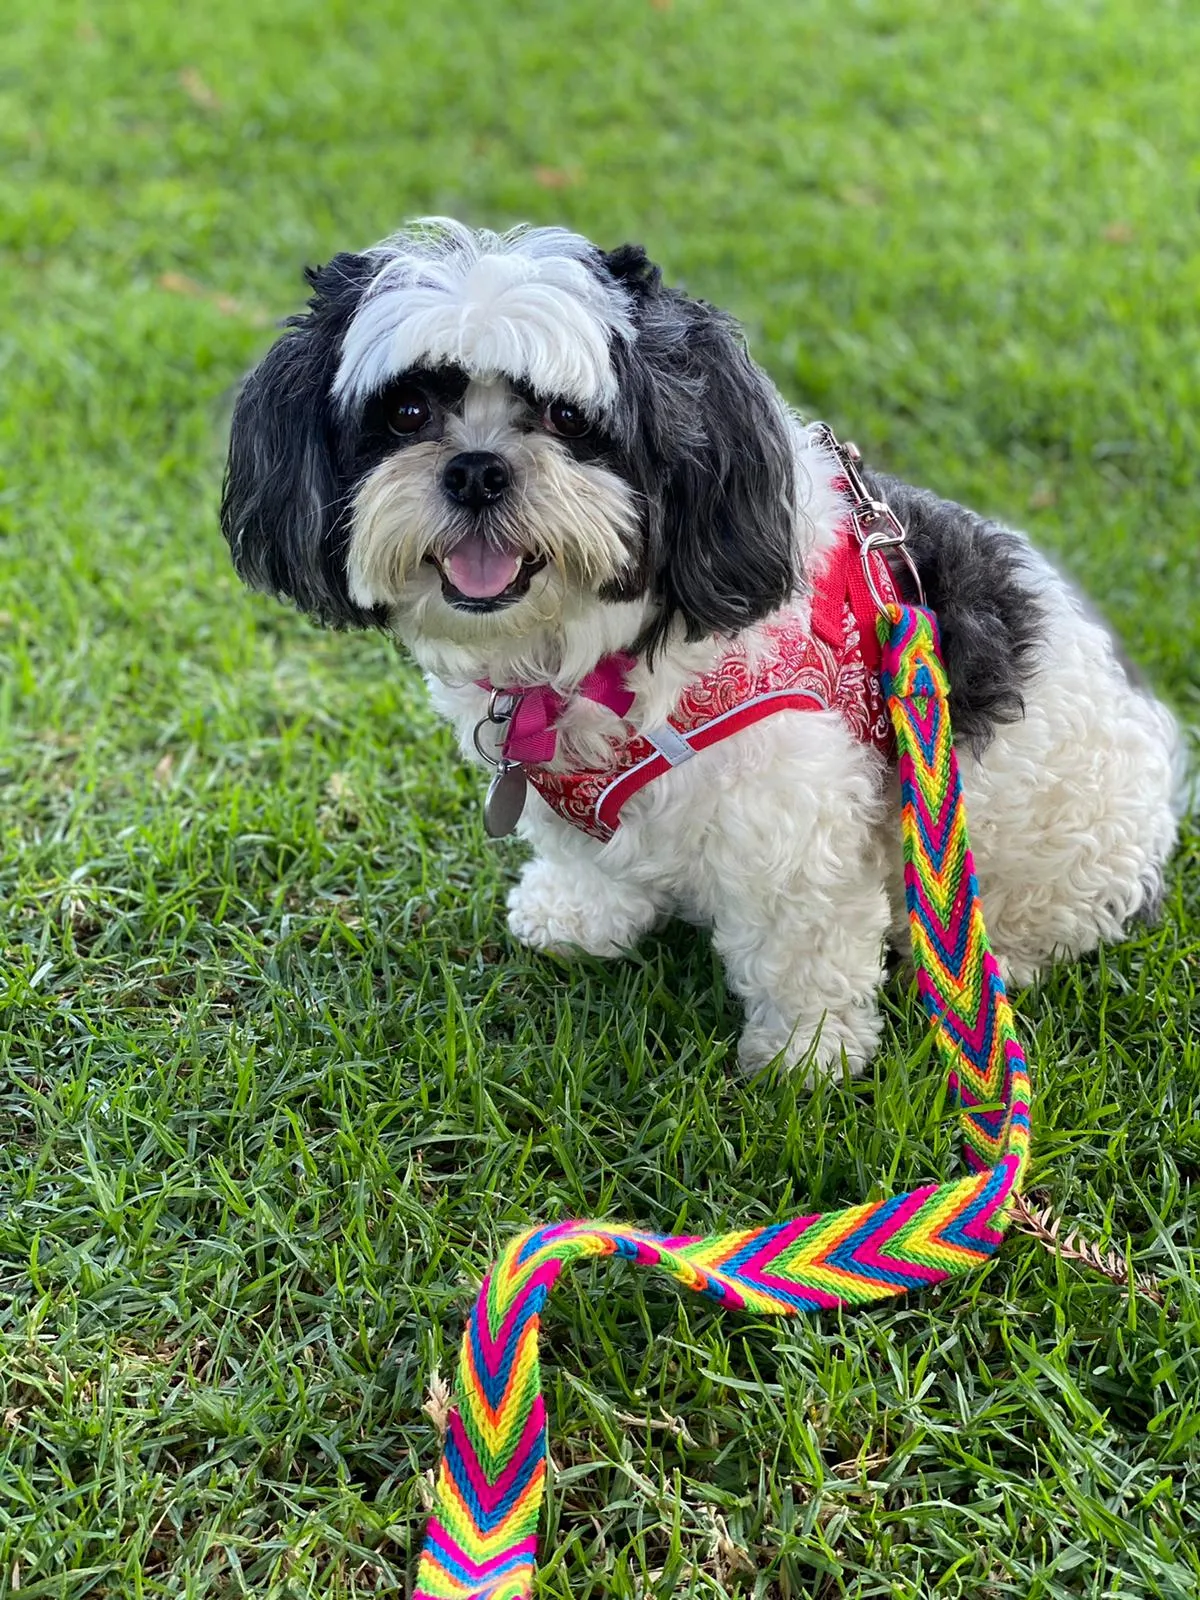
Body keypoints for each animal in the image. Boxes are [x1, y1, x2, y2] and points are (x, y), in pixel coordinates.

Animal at [220, 219, 1190, 1081]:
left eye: (568, 418)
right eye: (409, 410)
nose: (476, 469)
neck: (586, 657)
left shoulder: (797, 815)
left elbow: (803, 949)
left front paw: (805, 1058)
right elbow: (586, 857)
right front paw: (575, 917)